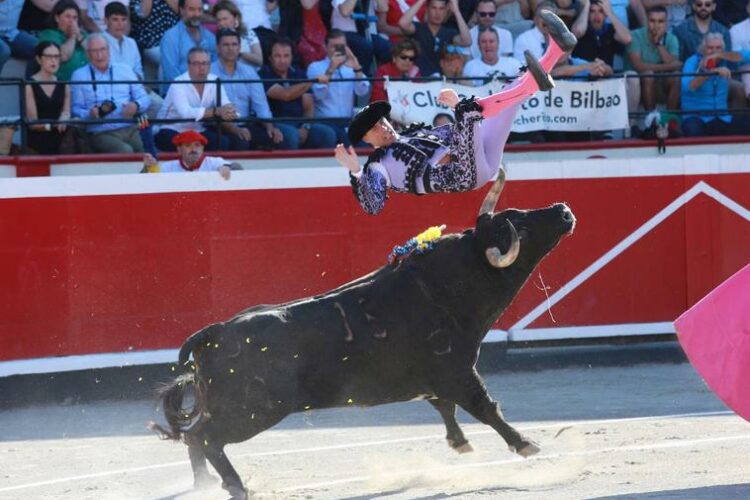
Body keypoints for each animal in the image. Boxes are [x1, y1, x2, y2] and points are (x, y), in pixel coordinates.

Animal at [151, 173, 576, 500]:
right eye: (520, 227)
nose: (563, 210)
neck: (448, 283)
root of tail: (214, 332)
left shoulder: (437, 379)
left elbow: (446, 408)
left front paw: (460, 443)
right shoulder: (457, 370)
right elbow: (485, 407)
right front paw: (526, 444)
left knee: (194, 438)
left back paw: (206, 484)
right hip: (254, 410)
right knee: (208, 438)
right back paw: (236, 486)